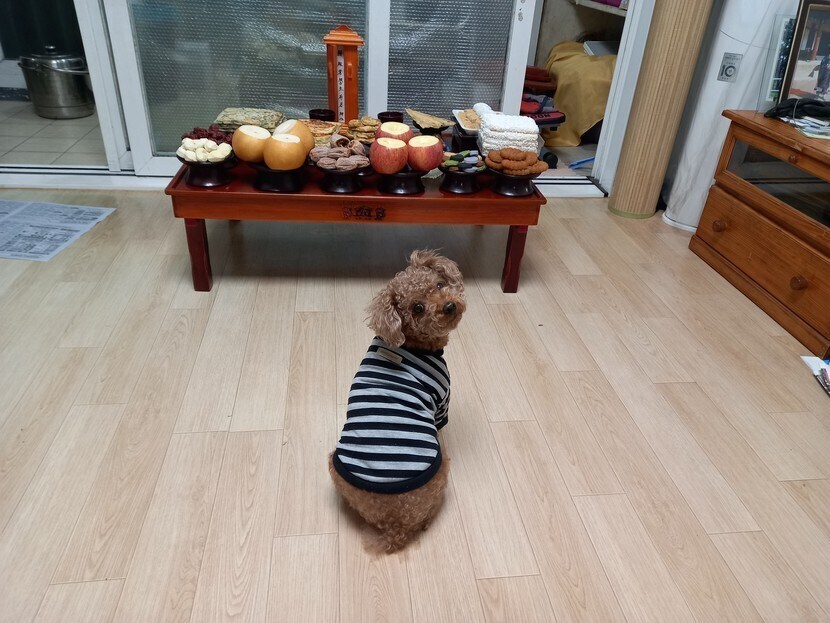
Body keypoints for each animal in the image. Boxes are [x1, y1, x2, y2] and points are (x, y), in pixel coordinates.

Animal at [329, 249, 466, 552]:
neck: (412, 344)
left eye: (439, 284)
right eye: (417, 308)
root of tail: (395, 527)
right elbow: (441, 424)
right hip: (441, 470)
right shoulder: (442, 400)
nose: (449, 306)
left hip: (334, 466)